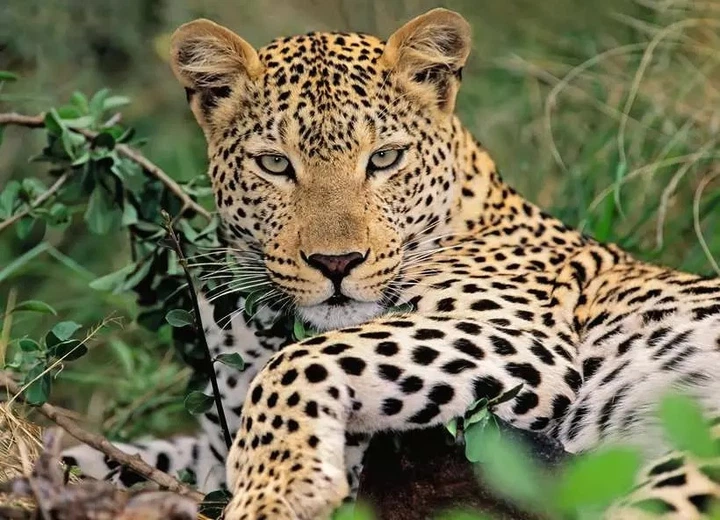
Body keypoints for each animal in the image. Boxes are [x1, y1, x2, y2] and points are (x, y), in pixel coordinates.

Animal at [61, 8, 720, 520]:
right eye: (275, 164)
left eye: (384, 159)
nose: (336, 262)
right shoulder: (216, 435)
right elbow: (128, 453)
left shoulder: (524, 340)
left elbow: (300, 361)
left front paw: (277, 490)